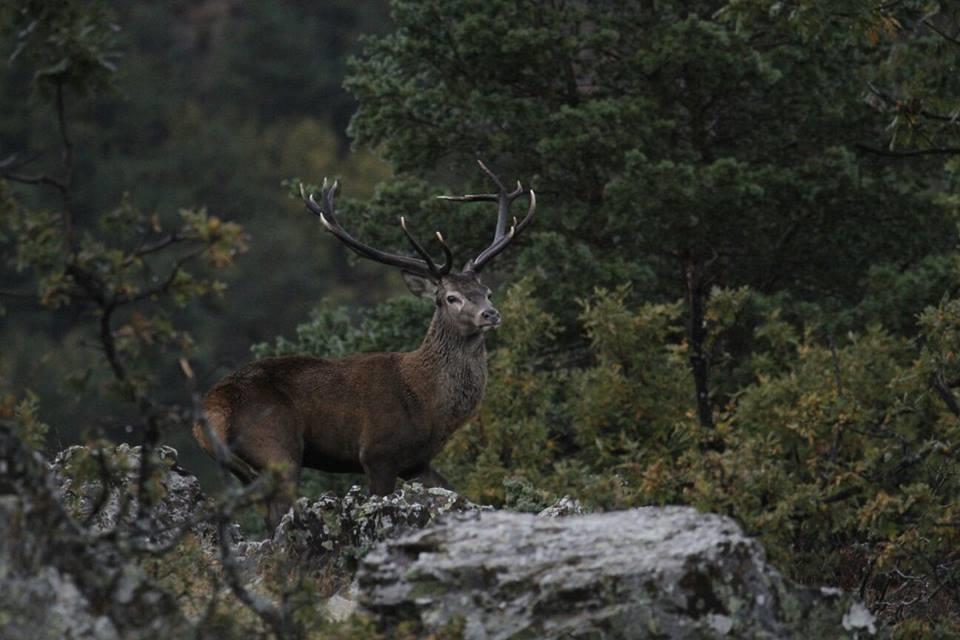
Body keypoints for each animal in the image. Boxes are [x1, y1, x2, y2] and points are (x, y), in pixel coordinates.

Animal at [193, 162, 540, 528]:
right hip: (276, 445)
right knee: (278, 515)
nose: (491, 314)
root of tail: (211, 412)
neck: (427, 401)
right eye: (451, 297)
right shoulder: (377, 452)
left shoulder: (417, 461)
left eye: (487, 291)